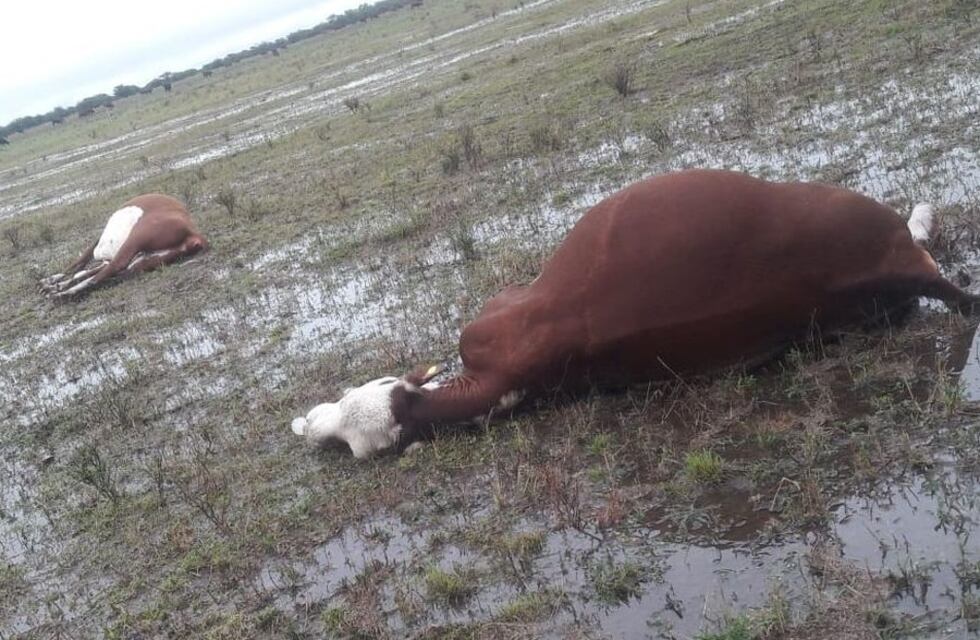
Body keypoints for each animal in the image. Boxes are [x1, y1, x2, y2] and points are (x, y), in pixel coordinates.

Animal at [40, 194, 208, 298]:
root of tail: (194, 234)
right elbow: (83, 271)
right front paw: (54, 283)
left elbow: (80, 264)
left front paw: (53, 282)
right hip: (146, 260)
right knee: (113, 274)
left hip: (135, 239)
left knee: (112, 268)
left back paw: (61, 295)